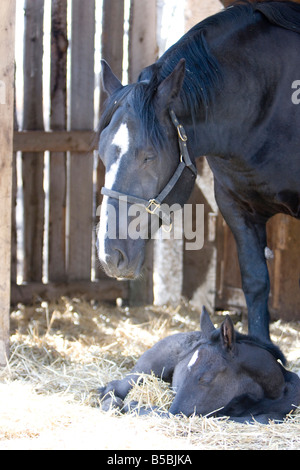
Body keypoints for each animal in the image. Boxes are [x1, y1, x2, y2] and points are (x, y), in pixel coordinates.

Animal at [100, 306, 300, 424]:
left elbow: (263, 418)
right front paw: (134, 406)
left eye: (205, 378)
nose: (174, 410)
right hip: (149, 367)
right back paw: (111, 402)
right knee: (119, 385)